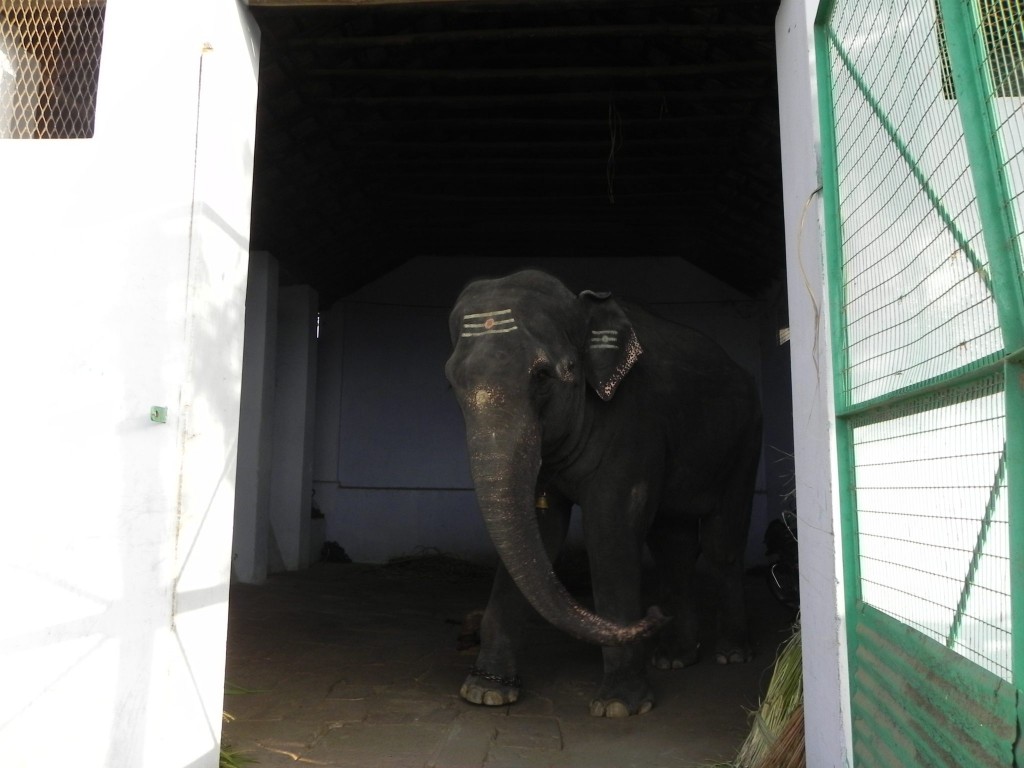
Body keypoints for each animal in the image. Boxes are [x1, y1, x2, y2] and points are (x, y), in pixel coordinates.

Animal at [444, 269, 762, 718]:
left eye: (543, 375)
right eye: (452, 382)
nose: (651, 615)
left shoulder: (634, 422)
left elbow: (610, 528)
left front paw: (619, 707)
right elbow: (541, 531)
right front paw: (486, 692)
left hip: (746, 439)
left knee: (722, 543)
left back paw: (730, 655)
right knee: (674, 546)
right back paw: (674, 658)